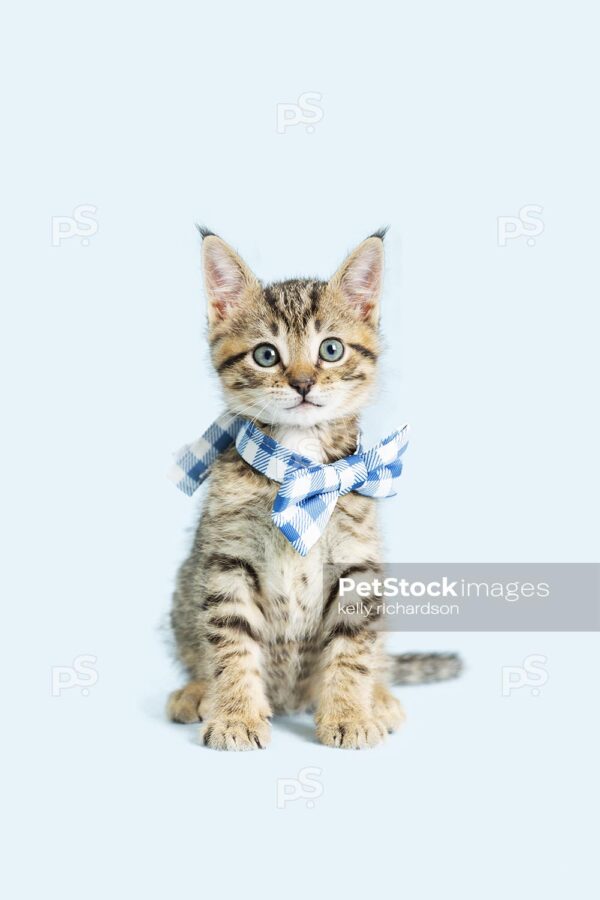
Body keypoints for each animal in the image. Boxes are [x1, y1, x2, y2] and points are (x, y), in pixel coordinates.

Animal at [169, 229, 460, 748]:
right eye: (266, 354)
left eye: (331, 349)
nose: (303, 382)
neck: (299, 464)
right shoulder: (226, 558)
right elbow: (230, 642)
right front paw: (236, 715)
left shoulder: (357, 563)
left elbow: (352, 648)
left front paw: (348, 714)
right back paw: (198, 691)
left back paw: (378, 697)